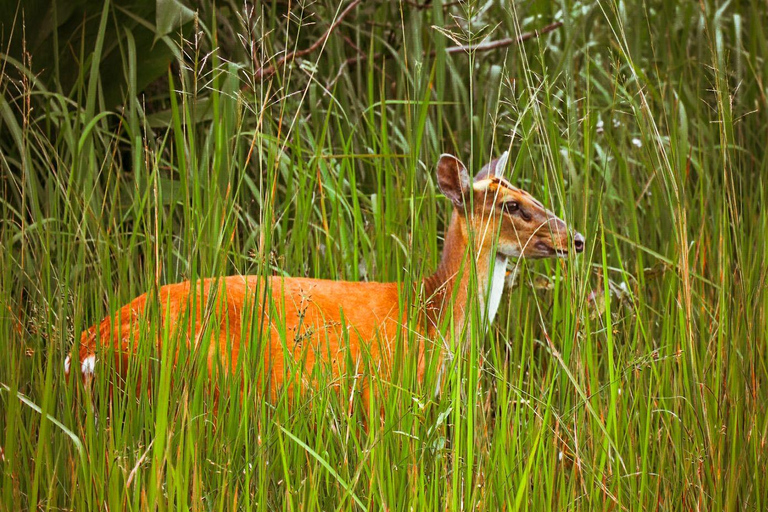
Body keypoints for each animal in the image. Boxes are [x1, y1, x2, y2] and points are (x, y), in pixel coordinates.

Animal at [64, 152, 584, 404]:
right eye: (512, 205)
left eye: (530, 193)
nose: (575, 238)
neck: (430, 316)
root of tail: (83, 351)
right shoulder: (380, 395)